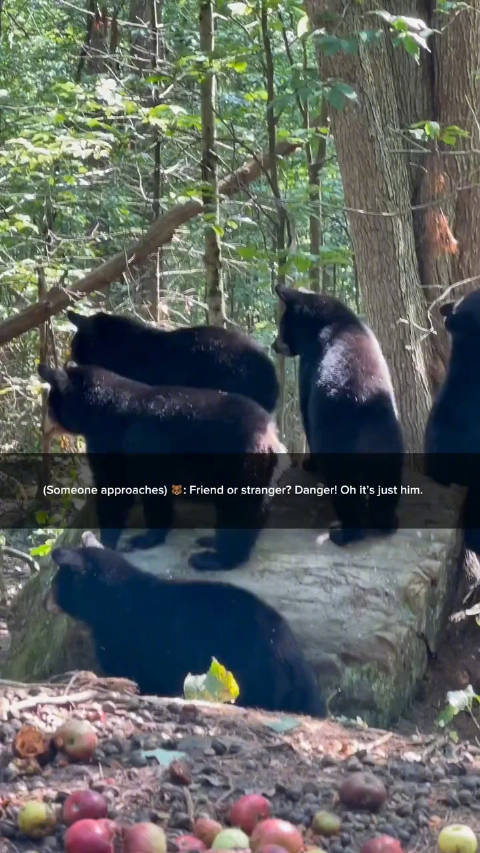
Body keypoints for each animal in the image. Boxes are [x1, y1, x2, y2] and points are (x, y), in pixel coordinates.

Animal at [38, 363, 286, 571]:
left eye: (51, 404)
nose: (45, 428)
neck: (101, 410)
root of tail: (270, 437)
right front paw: (147, 538)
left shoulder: (123, 442)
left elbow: (116, 489)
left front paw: (109, 541)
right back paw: (213, 542)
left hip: (239, 465)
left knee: (238, 509)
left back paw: (213, 559)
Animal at [272, 286, 404, 545]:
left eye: (283, 325)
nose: (274, 344)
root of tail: (366, 406)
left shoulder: (310, 366)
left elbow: (305, 411)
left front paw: (309, 463)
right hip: (390, 442)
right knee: (386, 483)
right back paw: (387, 521)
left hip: (336, 433)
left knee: (343, 482)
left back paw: (343, 531)